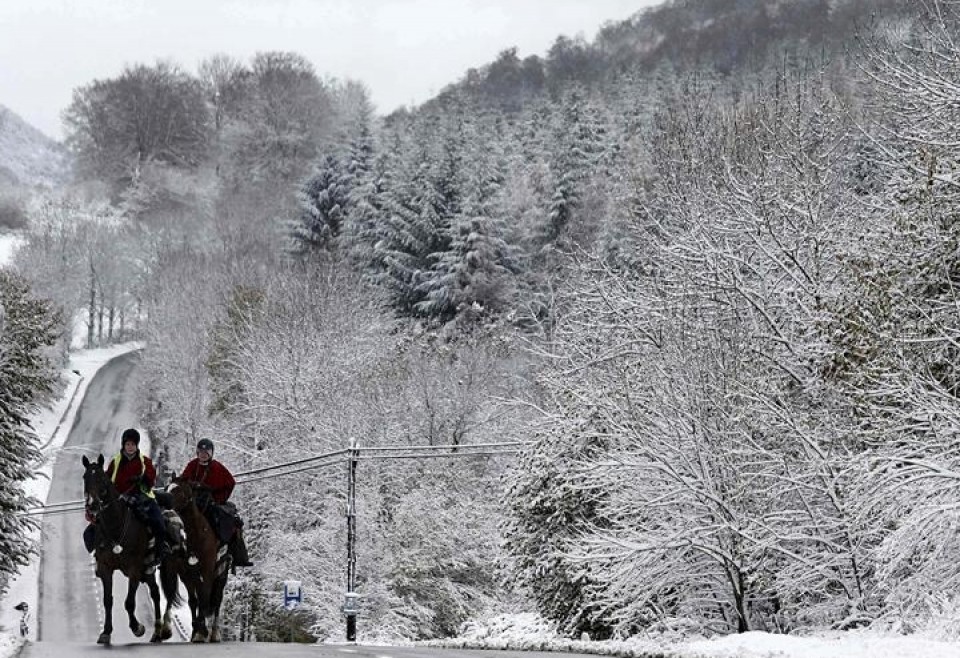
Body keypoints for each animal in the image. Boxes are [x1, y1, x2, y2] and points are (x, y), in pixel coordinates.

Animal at [81, 454, 173, 644]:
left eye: (102, 478)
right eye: (85, 477)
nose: (92, 506)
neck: (116, 526)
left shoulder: (134, 569)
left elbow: (129, 602)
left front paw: (137, 628)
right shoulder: (106, 568)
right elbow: (107, 600)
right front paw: (106, 632)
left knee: (160, 593)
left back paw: (159, 631)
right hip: (147, 570)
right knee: (155, 592)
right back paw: (157, 632)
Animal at [159, 476, 232, 640]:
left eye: (179, 490)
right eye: (166, 488)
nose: (164, 508)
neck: (195, 536)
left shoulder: (207, 571)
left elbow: (205, 597)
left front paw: (201, 631)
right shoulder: (181, 571)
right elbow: (179, 595)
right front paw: (166, 628)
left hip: (221, 574)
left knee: (216, 599)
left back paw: (213, 633)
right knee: (196, 600)